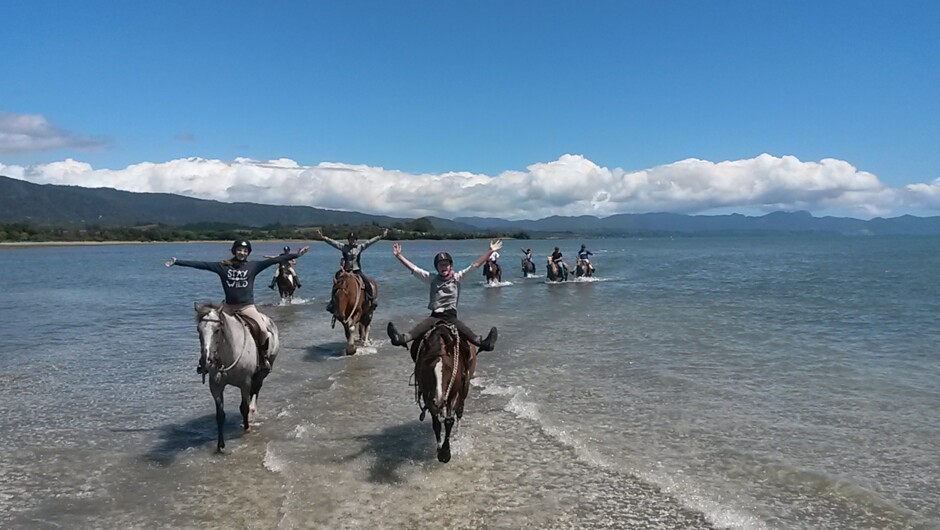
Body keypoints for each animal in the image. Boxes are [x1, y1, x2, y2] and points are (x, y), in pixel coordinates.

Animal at [193, 302, 278, 450]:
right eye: (199, 330)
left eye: (217, 330)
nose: (206, 361)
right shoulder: (215, 386)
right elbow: (220, 415)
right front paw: (220, 445)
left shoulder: (245, 383)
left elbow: (244, 408)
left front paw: (247, 430)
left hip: (261, 373)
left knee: (255, 393)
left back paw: (251, 415)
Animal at [410, 318, 478, 462]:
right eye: (427, 368)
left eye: (449, 367)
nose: (439, 400)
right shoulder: (428, 397)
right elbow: (436, 423)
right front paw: (439, 448)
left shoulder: (454, 394)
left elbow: (449, 421)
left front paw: (446, 453)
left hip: (464, 390)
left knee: (459, 413)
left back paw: (457, 437)